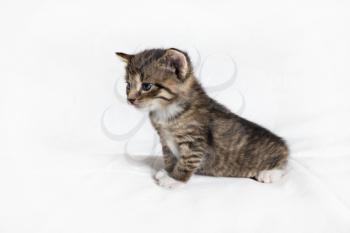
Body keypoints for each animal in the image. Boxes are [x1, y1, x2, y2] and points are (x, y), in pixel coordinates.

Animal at [116, 48, 288, 188]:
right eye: (128, 85)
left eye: (146, 86)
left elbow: (186, 162)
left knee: (284, 163)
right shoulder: (164, 138)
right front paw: (168, 171)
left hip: (276, 153)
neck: (166, 111)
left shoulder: (195, 141)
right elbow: (169, 156)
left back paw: (268, 173)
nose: (130, 99)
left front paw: (174, 179)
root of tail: (282, 143)